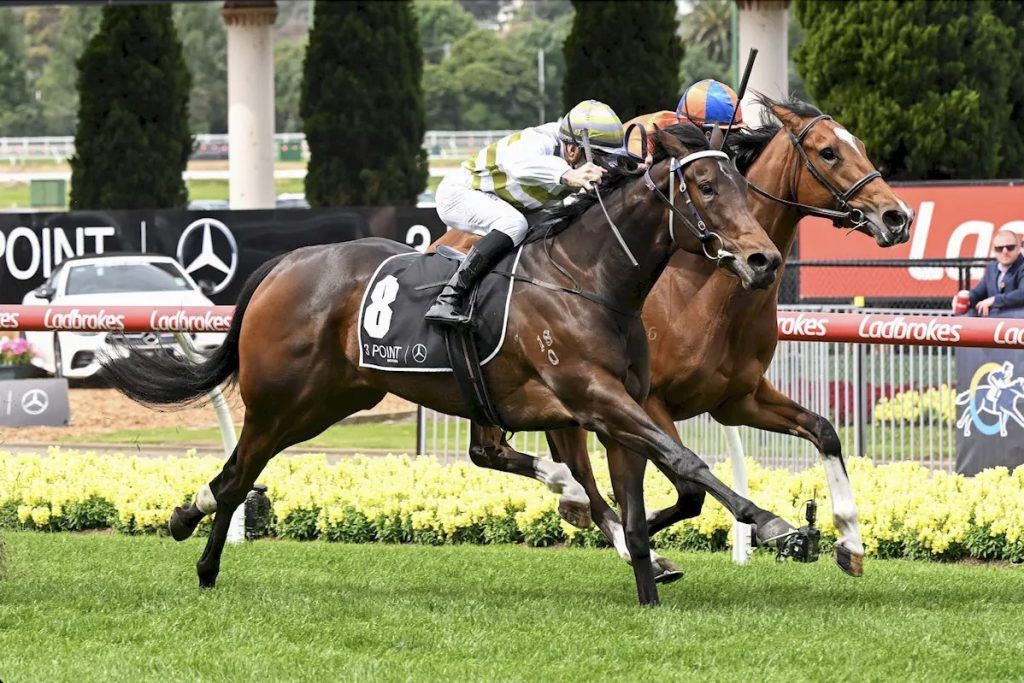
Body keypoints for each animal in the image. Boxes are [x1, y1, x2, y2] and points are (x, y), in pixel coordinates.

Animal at [101, 122, 790, 602]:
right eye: (707, 187)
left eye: (742, 184)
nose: (764, 261)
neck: (589, 278)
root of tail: (285, 262)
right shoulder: (594, 397)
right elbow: (684, 461)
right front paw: (778, 526)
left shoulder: (615, 407)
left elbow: (641, 506)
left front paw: (649, 586)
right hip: (280, 402)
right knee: (237, 476)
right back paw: (198, 548)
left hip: (334, 400)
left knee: (239, 477)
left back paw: (191, 531)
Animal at [432, 97, 913, 598]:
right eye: (828, 152)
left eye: (859, 144)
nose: (897, 216)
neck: (704, 289)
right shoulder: (645, 401)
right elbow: (689, 489)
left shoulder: (738, 399)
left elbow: (823, 431)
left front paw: (849, 541)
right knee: (563, 468)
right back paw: (584, 508)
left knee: (499, 453)